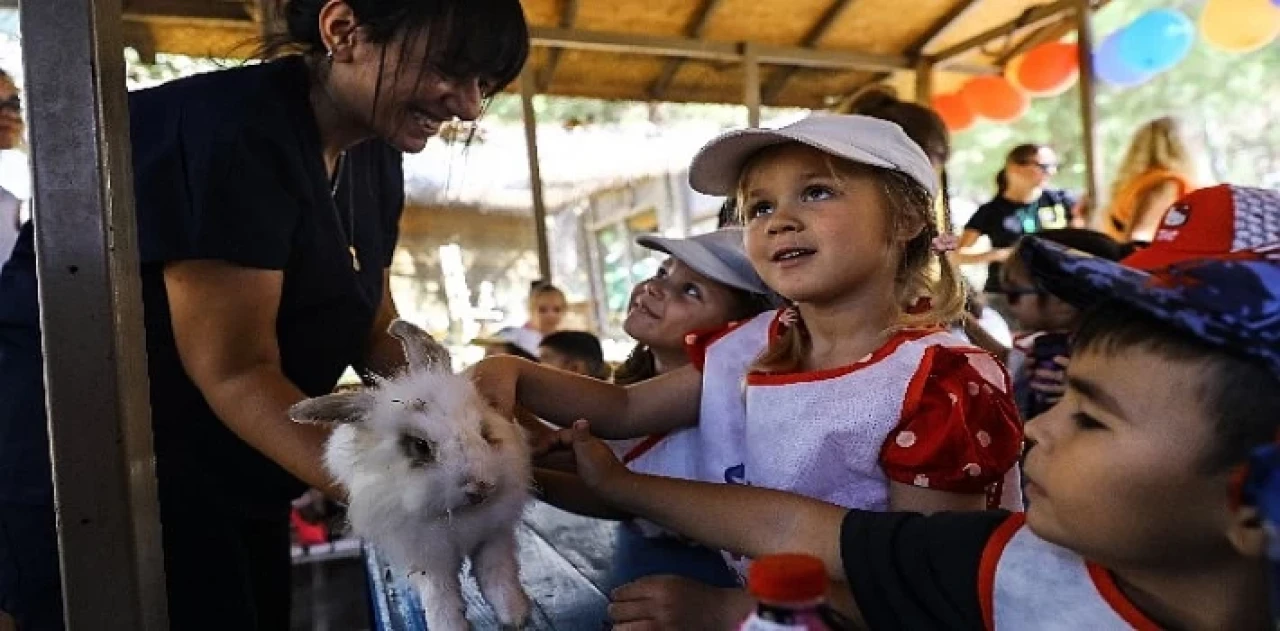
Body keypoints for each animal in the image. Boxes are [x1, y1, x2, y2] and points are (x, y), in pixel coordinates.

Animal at [290, 319, 529, 629]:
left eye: (484, 431)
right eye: (420, 446)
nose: (480, 486)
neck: (460, 515)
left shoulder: (493, 538)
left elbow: (499, 577)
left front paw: (515, 615)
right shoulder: (428, 557)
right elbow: (441, 598)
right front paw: (449, 627)